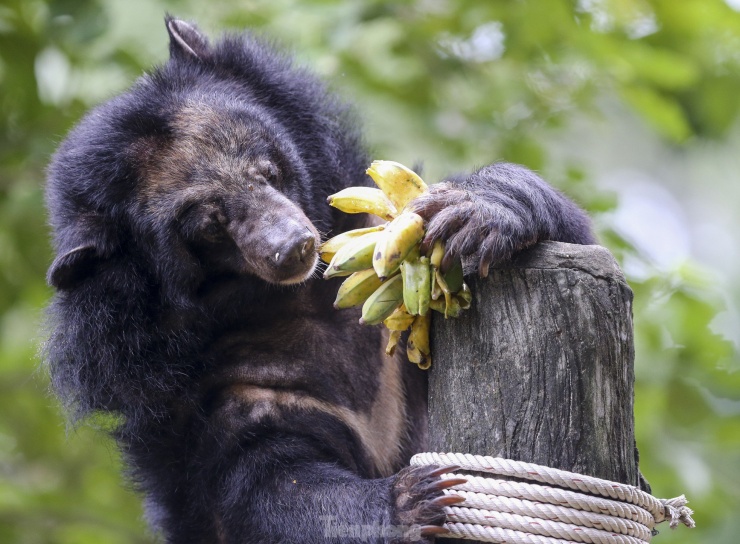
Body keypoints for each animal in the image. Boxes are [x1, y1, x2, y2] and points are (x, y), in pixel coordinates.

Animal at [43, 17, 596, 544]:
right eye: (208, 225)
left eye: (266, 169)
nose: (294, 247)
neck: (290, 297)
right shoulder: (218, 396)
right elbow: (272, 491)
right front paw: (416, 498)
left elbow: (574, 233)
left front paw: (475, 211)